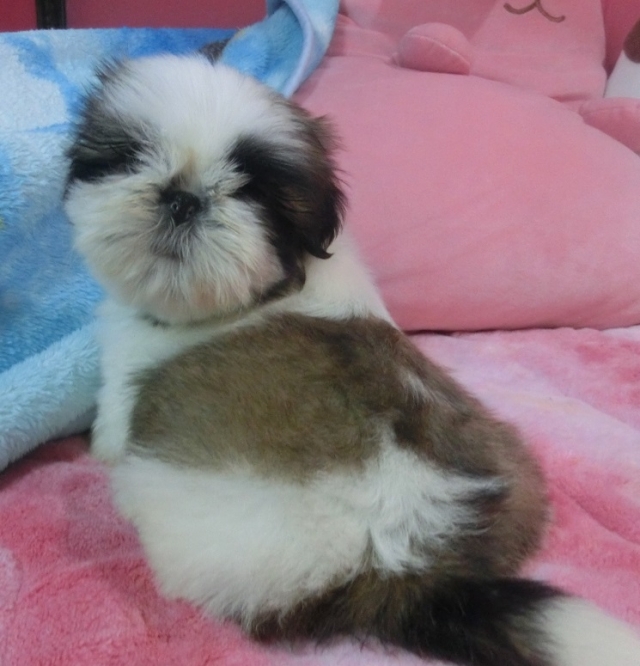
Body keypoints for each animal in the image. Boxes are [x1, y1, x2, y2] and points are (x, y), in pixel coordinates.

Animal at [64, 52, 640, 666]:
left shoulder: (124, 380)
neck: (259, 293)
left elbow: (111, 430)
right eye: (132, 156)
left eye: (252, 193)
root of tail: (402, 560)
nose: (183, 197)